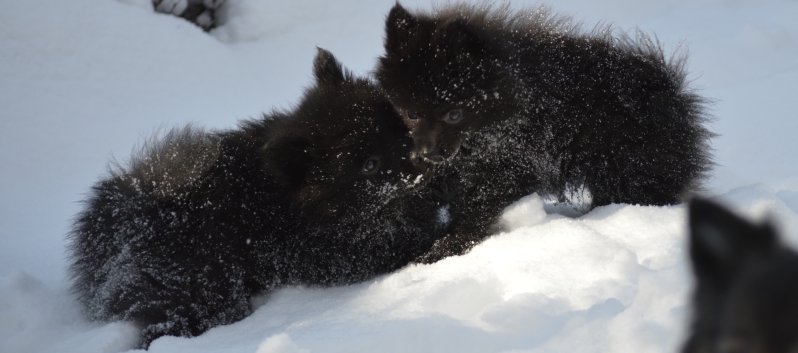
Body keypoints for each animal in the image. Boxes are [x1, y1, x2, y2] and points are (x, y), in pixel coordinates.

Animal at [68, 48, 444, 346]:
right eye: (369, 165)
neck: (295, 200)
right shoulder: (333, 251)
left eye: (397, 129)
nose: (419, 159)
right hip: (204, 285)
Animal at [378, 2, 716, 262]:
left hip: (633, 167)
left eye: (454, 113)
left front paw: (443, 250)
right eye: (411, 113)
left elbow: (479, 207)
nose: (429, 153)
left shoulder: (512, 160)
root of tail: (668, 88)